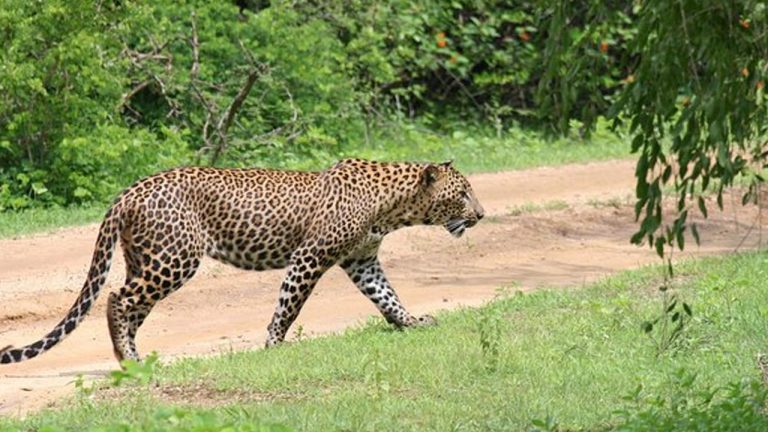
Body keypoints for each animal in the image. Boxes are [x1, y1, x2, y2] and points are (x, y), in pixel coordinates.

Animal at [1, 158, 485, 365]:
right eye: (463, 193)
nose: (481, 215)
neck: (394, 208)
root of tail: (129, 191)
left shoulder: (362, 262)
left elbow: (388, 297)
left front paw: (412, 322)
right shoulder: (310, 256)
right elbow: (289, 305)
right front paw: (273, 344)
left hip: (147, 258)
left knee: (131, 306)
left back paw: (132, 357)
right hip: (174, 259)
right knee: (118, 299)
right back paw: (130, 359)